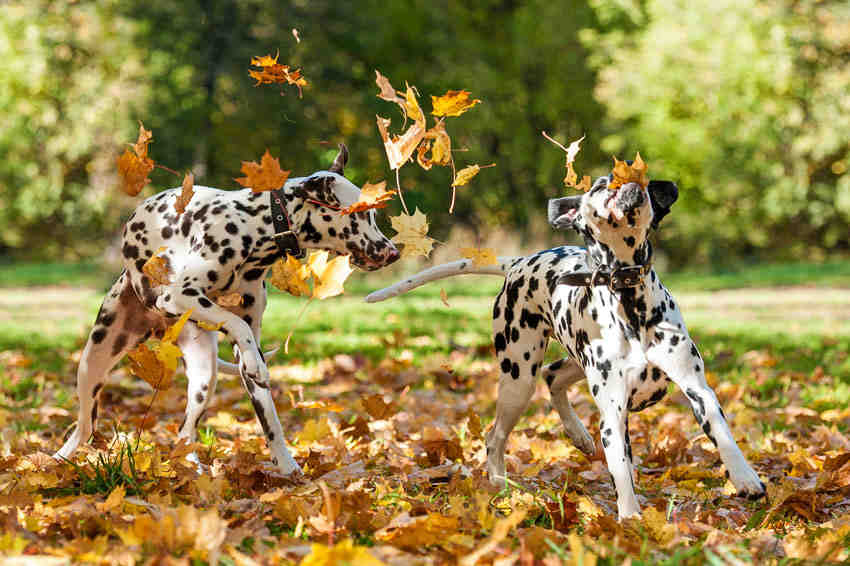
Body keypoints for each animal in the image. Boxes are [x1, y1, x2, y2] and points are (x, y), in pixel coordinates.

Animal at [57, 145, 400, 474]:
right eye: (360, 216)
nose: (394, 253)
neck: (257, 226)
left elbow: (269, 417)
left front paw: (288, 469)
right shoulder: (179, 296)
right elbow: (236, 324)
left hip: (203, 375)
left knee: (185, 432)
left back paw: (191, 469)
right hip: (93, 362)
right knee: (85, 427)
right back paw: (58, 460)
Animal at [368, 168, 764, 520]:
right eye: (602, 185)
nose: (624, 181)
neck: (629, 299)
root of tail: (519, 261)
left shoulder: (697, 388)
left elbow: (722, 435)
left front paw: (745, 478)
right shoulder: (613, 412)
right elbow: (620, 470)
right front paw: (630, 519)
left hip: (572, 361)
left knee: (552, 376)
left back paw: (577, 434)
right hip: (518, 378)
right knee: (497, 434)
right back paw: (500, 485)